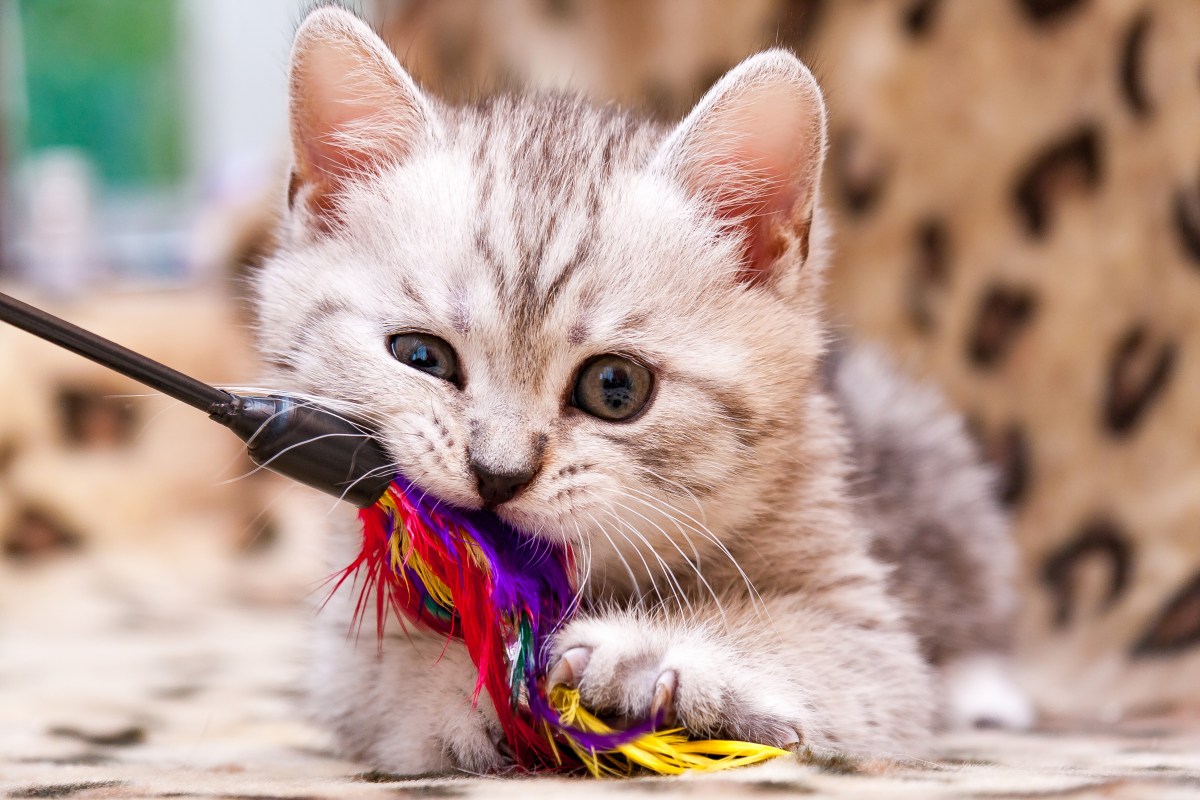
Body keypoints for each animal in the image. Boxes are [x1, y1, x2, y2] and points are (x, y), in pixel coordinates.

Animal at [255, 6, 1032, 777]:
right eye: (421, 356)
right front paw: (483, 685)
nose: (498, 473)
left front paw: (645, 654)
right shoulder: (342, 656)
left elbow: (840, 652)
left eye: (615, 386)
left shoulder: (865, 625)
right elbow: (385, 681)